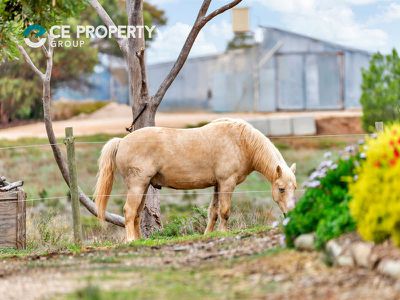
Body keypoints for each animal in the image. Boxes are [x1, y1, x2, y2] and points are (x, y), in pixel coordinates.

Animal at [94, 118, 296, 241]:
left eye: (294, 188)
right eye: (281, 189)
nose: (290, 213)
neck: (241, 141)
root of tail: (122, 141)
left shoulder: (218, 185)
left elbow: (213, 212)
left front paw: (208, 234)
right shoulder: (227, 183)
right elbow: (224, 211)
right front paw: (223, 232)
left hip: (143, 187)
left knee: (135, 214)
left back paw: (138, 240)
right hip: (137, 185)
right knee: (129, 211)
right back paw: (131, 241)